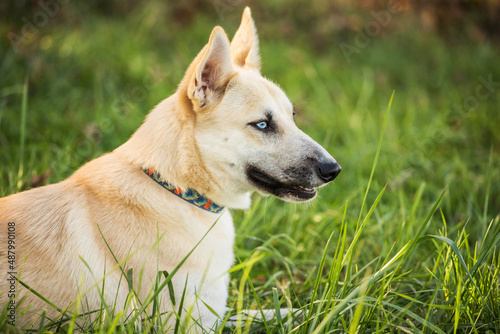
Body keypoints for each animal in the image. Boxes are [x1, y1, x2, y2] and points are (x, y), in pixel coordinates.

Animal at [0, 7, 340, 332]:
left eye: (292, 117)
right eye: (262, 125)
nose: (333, 170)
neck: (175, 189)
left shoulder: (213, 313)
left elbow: (265, 314)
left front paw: (323, 309)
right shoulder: (189, 323)